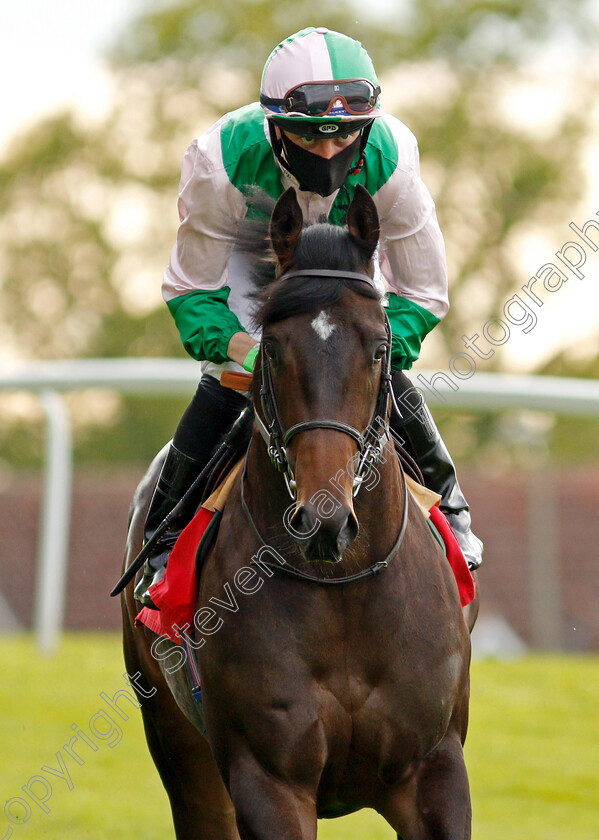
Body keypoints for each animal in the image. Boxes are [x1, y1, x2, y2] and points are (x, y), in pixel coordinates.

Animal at [122, 187, 476, 836]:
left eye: (380, 348)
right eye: (273, 348)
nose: (325, 519)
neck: (343, 591)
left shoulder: (435, 769)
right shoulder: (268, 778)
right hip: (178, 744)